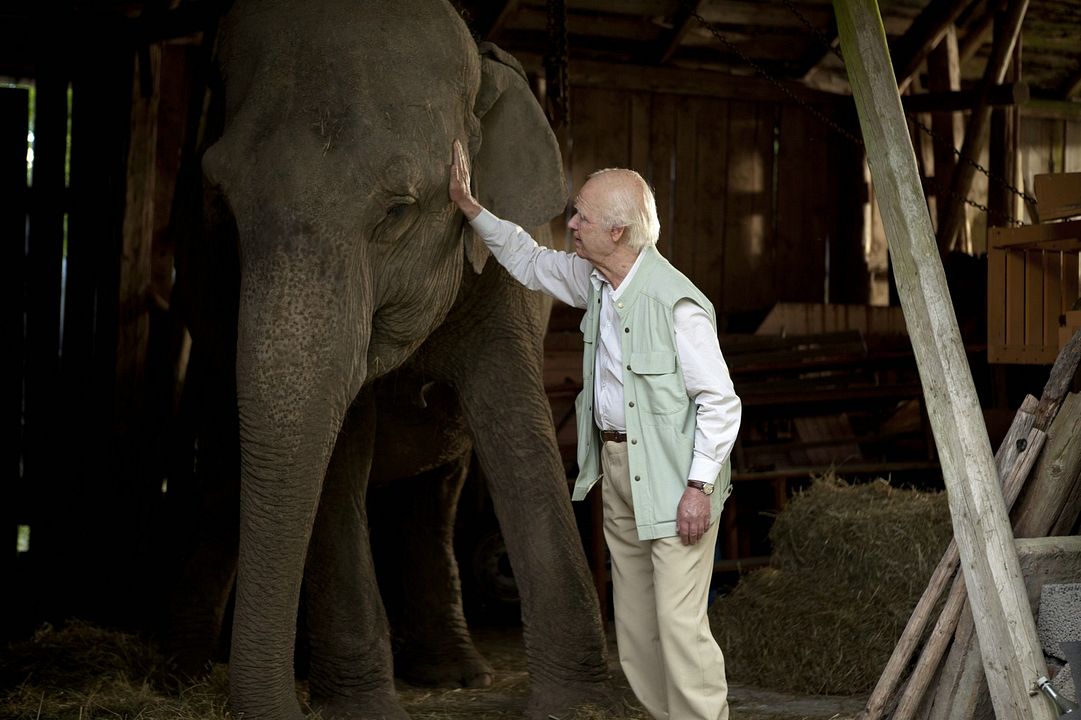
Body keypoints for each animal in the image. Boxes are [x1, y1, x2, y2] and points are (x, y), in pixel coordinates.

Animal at [163, 1, 614, 717]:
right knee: (221, 476)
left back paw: (460, 675)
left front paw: (577, 705)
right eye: (222, 206)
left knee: (437, 495)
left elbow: (515, 418)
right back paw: (177, 677)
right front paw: (363, 708)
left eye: (399, 211)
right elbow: (342, 442)